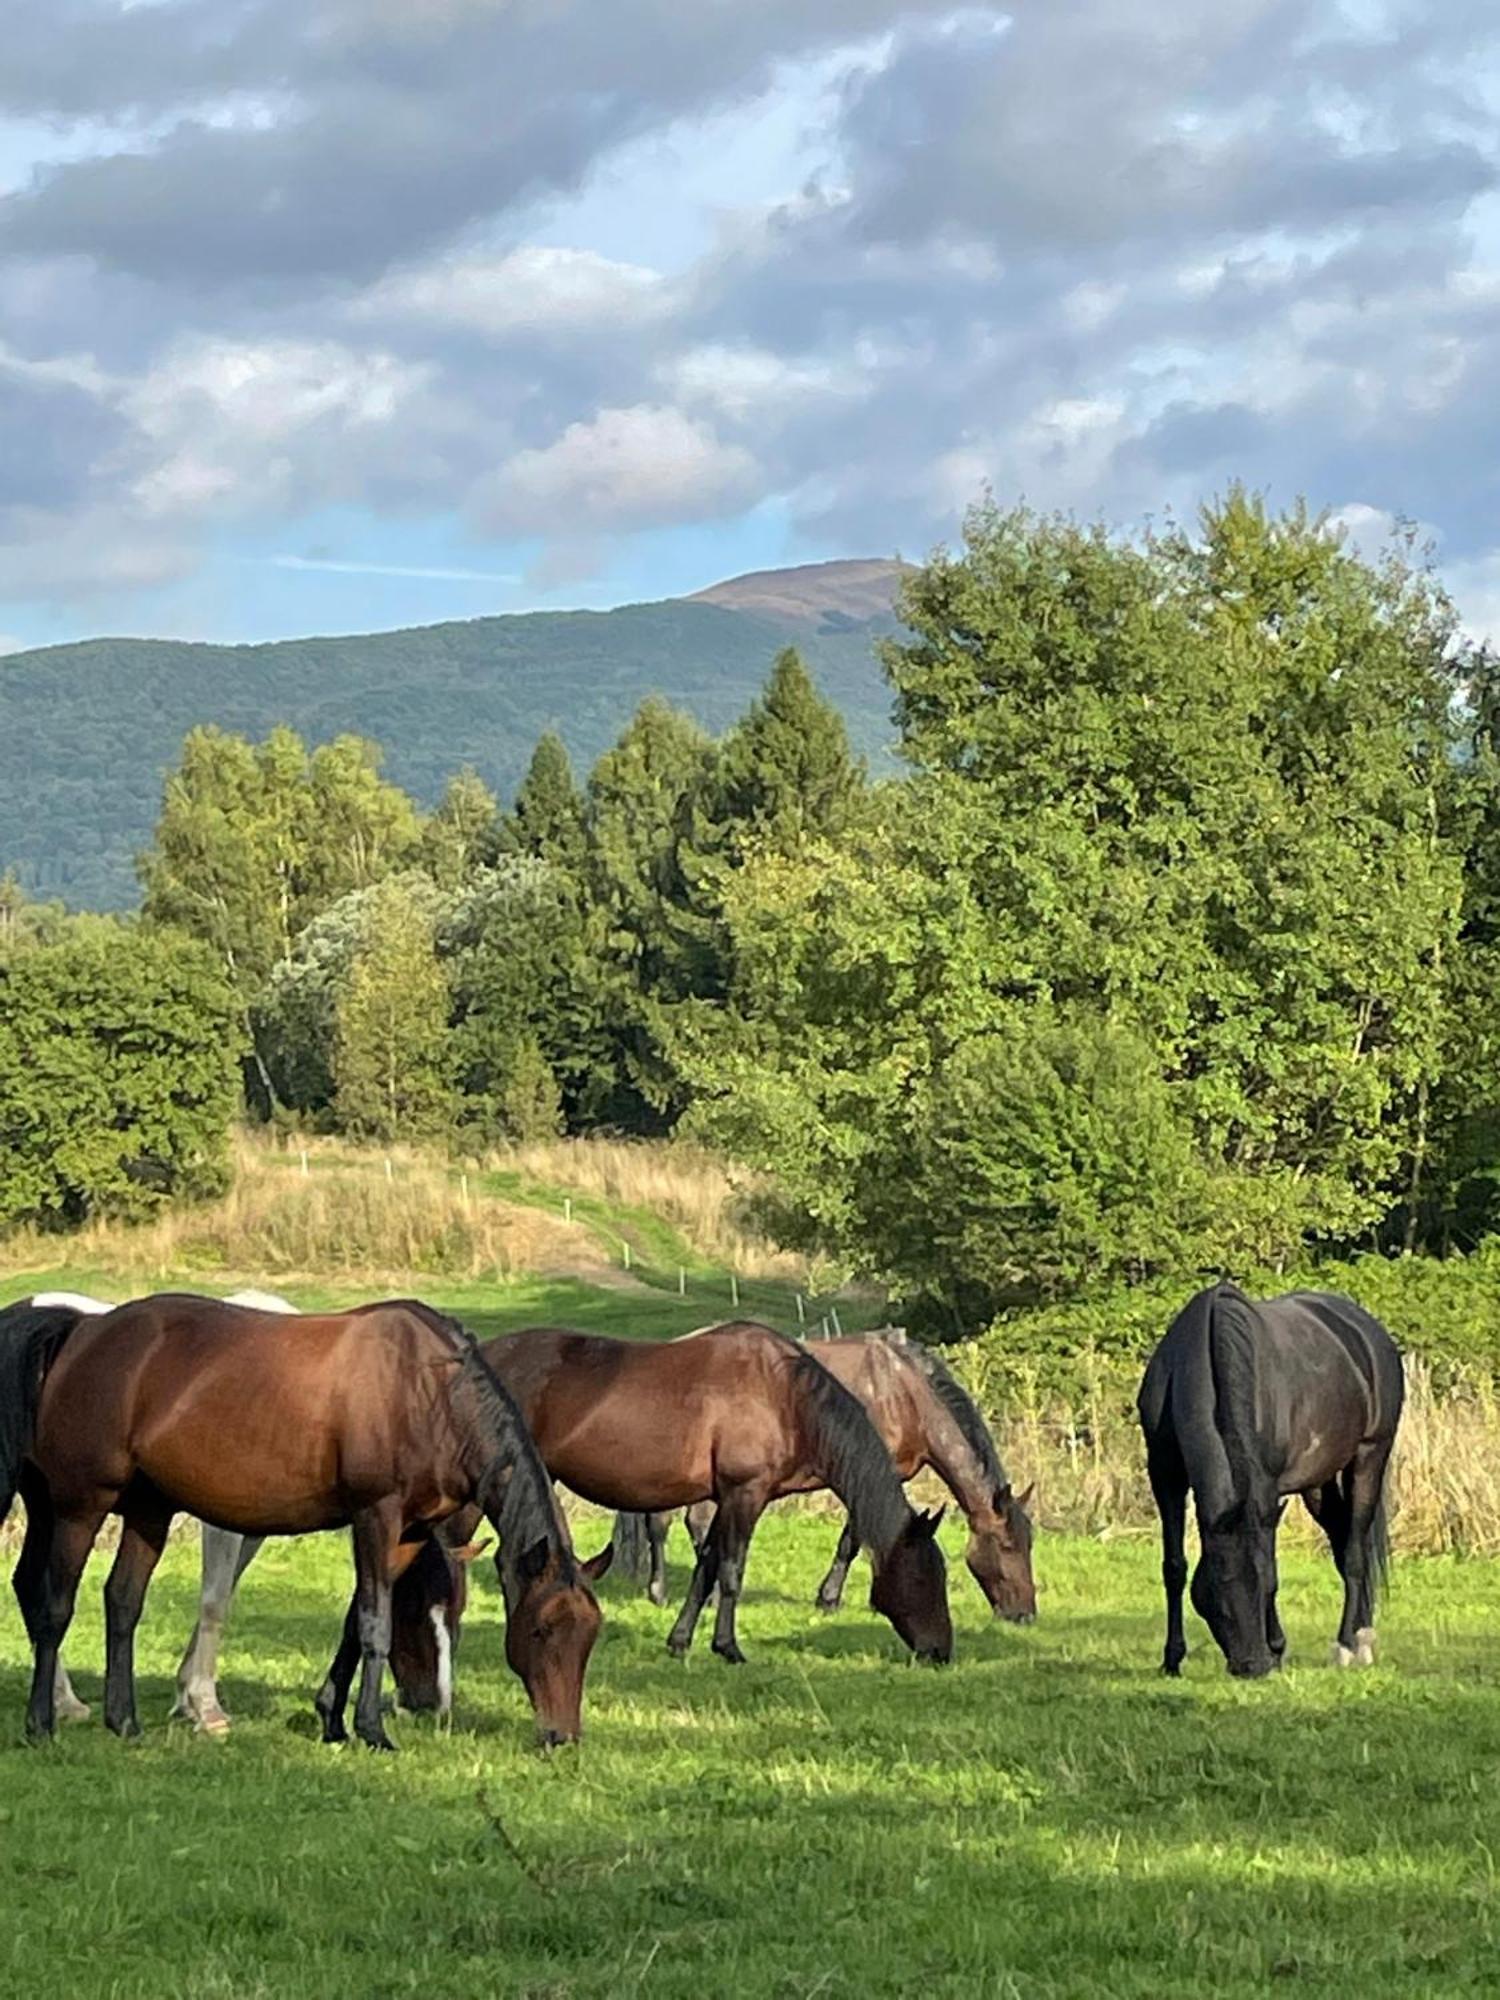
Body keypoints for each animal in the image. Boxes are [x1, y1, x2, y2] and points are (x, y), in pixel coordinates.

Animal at [1, 1296, 612, 1752]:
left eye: (590, 1635)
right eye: (541, 1630)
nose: (562, 1736)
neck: (428, 1392)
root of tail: (83, 1329)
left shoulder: (406, 1535)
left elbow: (355, 1623)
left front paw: (333, 1719)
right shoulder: (375, 1515)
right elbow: (373, 1625)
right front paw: (371, 1729)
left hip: (148, 1512)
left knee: (123, 1601)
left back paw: (124, 1721)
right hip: (79, 1506)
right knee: (54, 1606)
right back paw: (43, 1723)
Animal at [482, 1320, 952, 1664]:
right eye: (923, 1576)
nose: (942, 1651)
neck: (782, 1395)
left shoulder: (726, 1498)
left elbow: (705, 1567)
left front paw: (680, 1640)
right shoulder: (745, 1494)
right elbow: (730, 1571)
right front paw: (728, 1647)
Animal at [616, 1328, 1040, 1624]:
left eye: (1029, 1544)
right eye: (1006, 1546)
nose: (1025, 1614)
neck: (903, 1390)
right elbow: (852, 1541)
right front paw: (829, 1598)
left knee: (667, 1522)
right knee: (688, 1523)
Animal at [1136, 1280, 1408, 1672]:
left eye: (1260, 1587)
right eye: (1219, 1584)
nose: (1254, 1666)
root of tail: (1368, 1330)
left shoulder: (1264, 1487)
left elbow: (1270, 1561)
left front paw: (1278, 1647)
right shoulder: (1165, 1476)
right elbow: (1174, 1567)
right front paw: (1172, 1660)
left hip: (1370, 1457)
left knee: (1356, 1553)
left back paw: (1350, 1645)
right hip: (1319, 1485)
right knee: (1343, 1546)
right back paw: (1361, 1636)